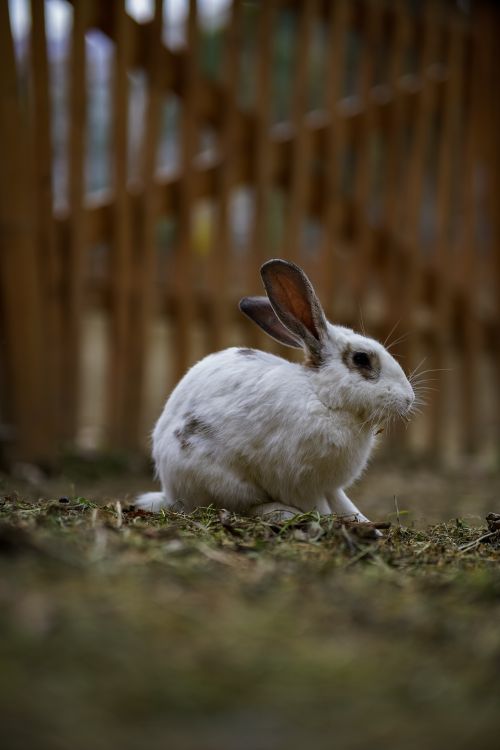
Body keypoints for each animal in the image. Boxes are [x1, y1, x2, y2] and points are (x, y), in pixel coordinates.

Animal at [136, 259, 415, 523]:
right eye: (361, 359)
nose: (409, 399)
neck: (323, 399)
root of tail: (169, 491)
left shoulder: (330, 486)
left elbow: (344, 503)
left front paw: (365, 522)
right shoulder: (301, 483)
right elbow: (320, 506)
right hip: (223, 483)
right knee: (241, 506)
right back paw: (282, 513)